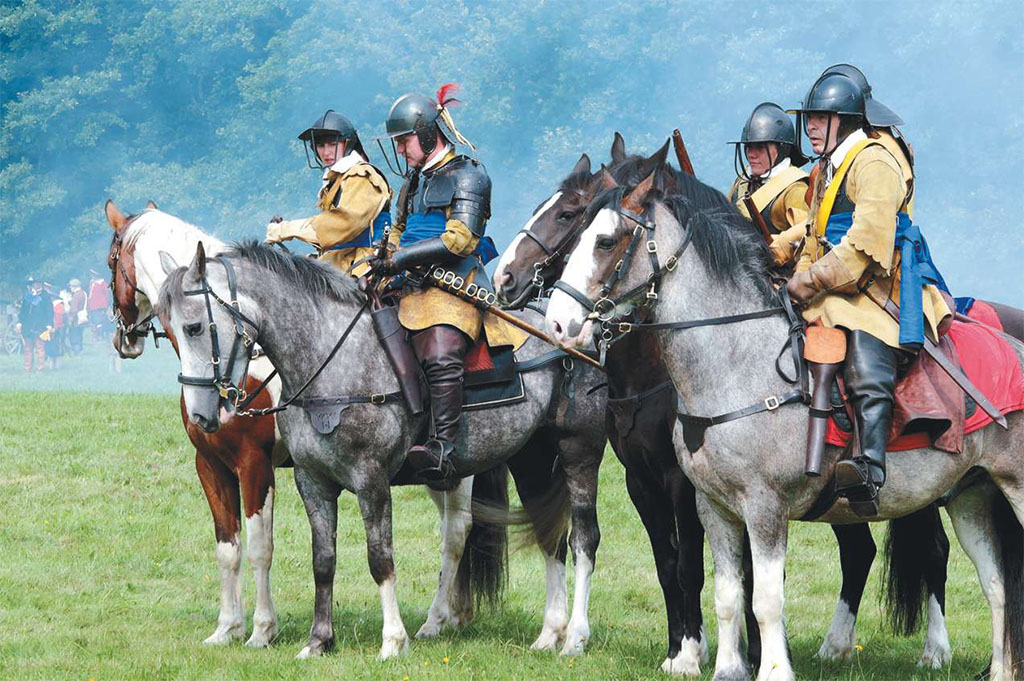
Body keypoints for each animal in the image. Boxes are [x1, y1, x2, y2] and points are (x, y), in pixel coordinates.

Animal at [103, 200, 507, 643]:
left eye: (110, 262)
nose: (124, 339)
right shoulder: (210, 464)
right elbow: (228, 548)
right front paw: (227, 627)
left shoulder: (254, 463)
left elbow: (260, 547)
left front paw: (262, 630)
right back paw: (456, 614)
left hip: (452, 470)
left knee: (456, 531)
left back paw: (436, 619)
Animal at [155, 238, 610, 659]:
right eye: (168, 326)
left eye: (194, 327)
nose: (203, 414)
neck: (329, 360)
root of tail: (569, 332)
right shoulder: (307, 480)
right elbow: (321, 559)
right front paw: (317, 641)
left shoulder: (365, 479)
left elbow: (378, 558)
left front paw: (391, 641)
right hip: (531, 458)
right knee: (548, 535)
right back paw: (548, 633)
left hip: (575, 454)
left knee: (576, 539)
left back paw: (571, 637)